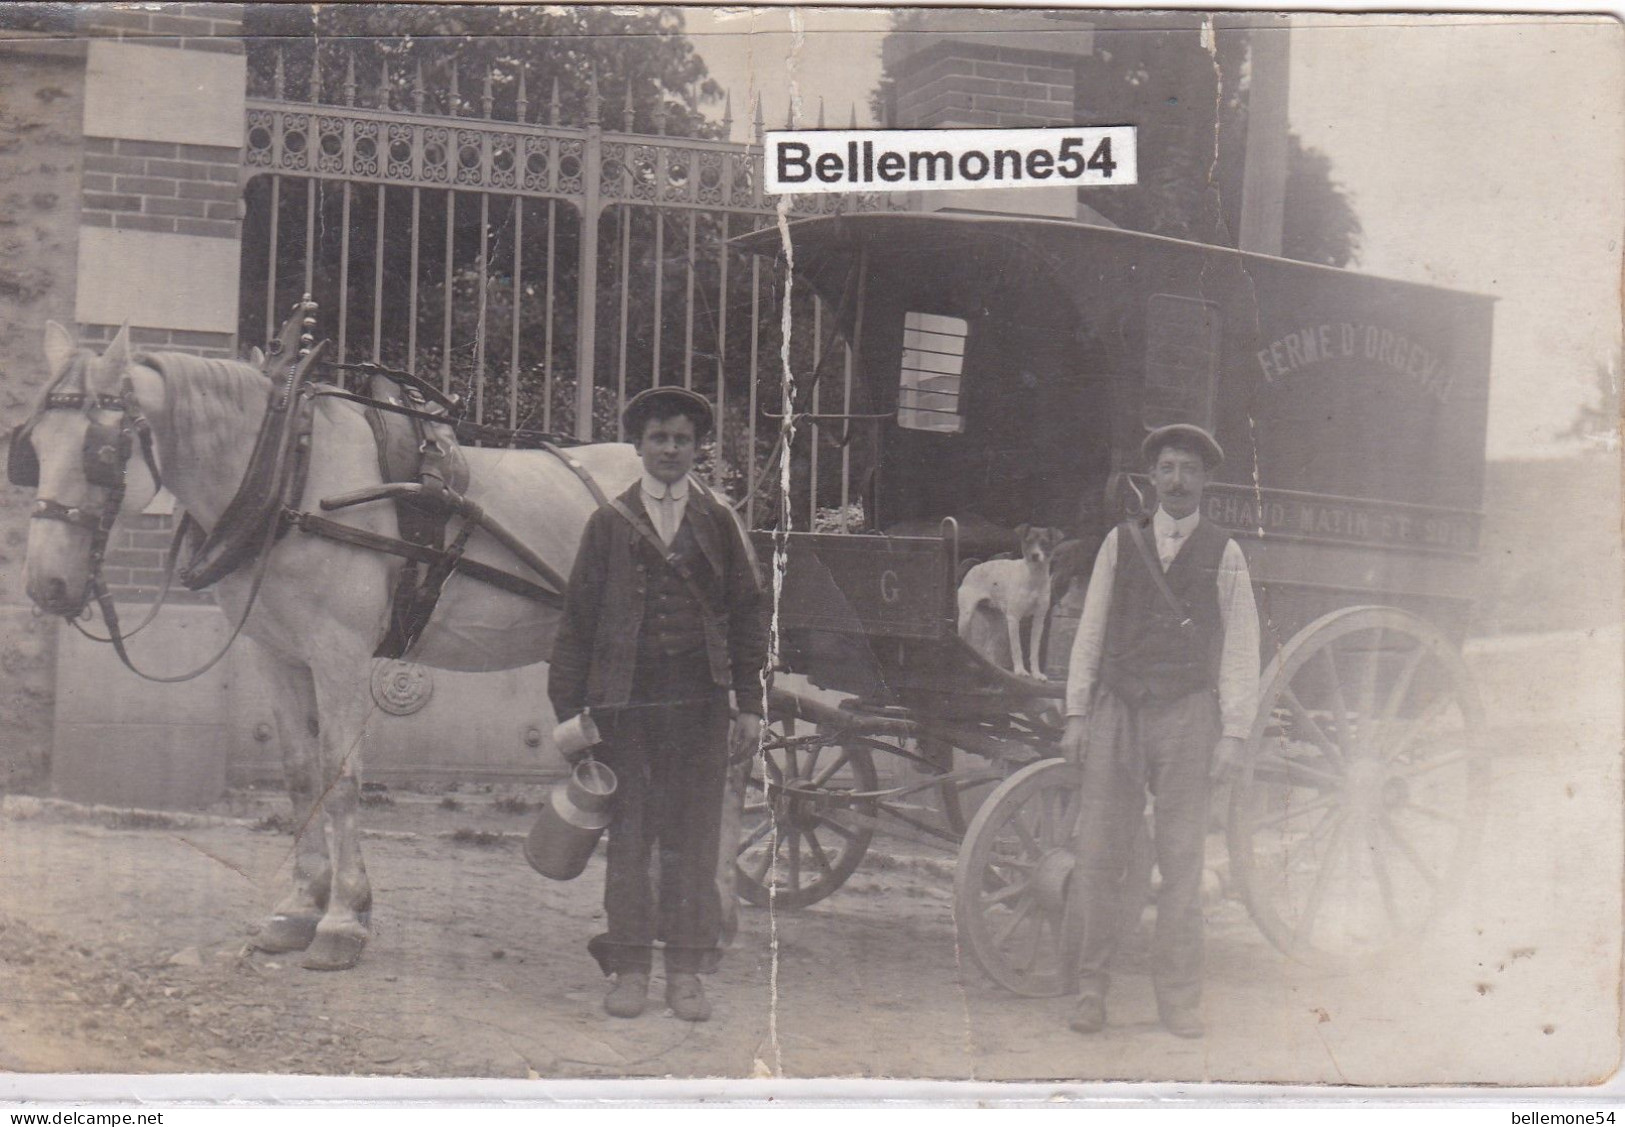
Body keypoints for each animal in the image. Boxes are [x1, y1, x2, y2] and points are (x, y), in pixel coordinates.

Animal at [19, 324, 643, 974]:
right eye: (31, 446)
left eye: (101, 453)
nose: (46, 585)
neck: (289, 472)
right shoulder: (275, 652)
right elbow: (299, 773)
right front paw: (299, 908)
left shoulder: (339, 652)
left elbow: (340, 776)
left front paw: (343, 919)